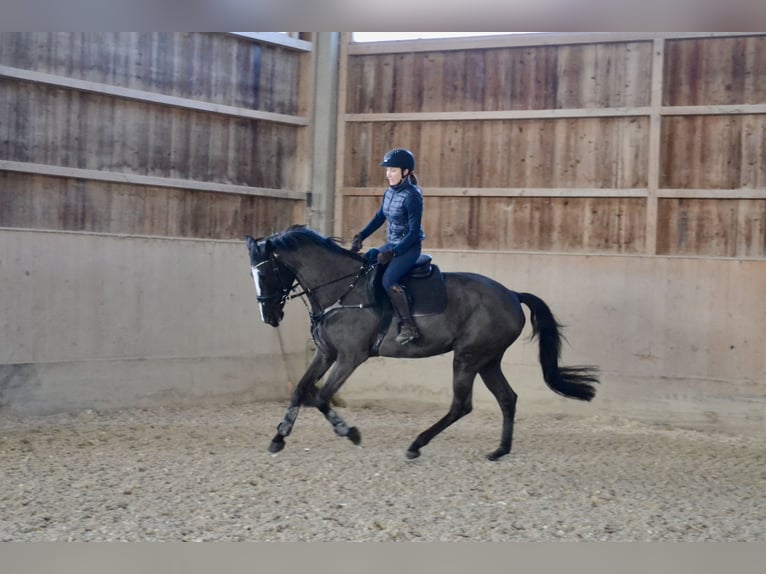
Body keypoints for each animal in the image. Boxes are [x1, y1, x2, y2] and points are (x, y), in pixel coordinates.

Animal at [245, 225, 598, 461]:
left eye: (268, 272)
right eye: (253, 275)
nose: (268, 316)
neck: (342, 289)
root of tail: (512, 294)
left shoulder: (349, 357)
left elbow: (320, 397)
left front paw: (351, 433)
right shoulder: (326, 353)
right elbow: (301, 389)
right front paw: (279, 437)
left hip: (468, 357)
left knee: (462, 404)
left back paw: (417, 444)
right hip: (488, 360)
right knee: (507, 398)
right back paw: (499, 450)